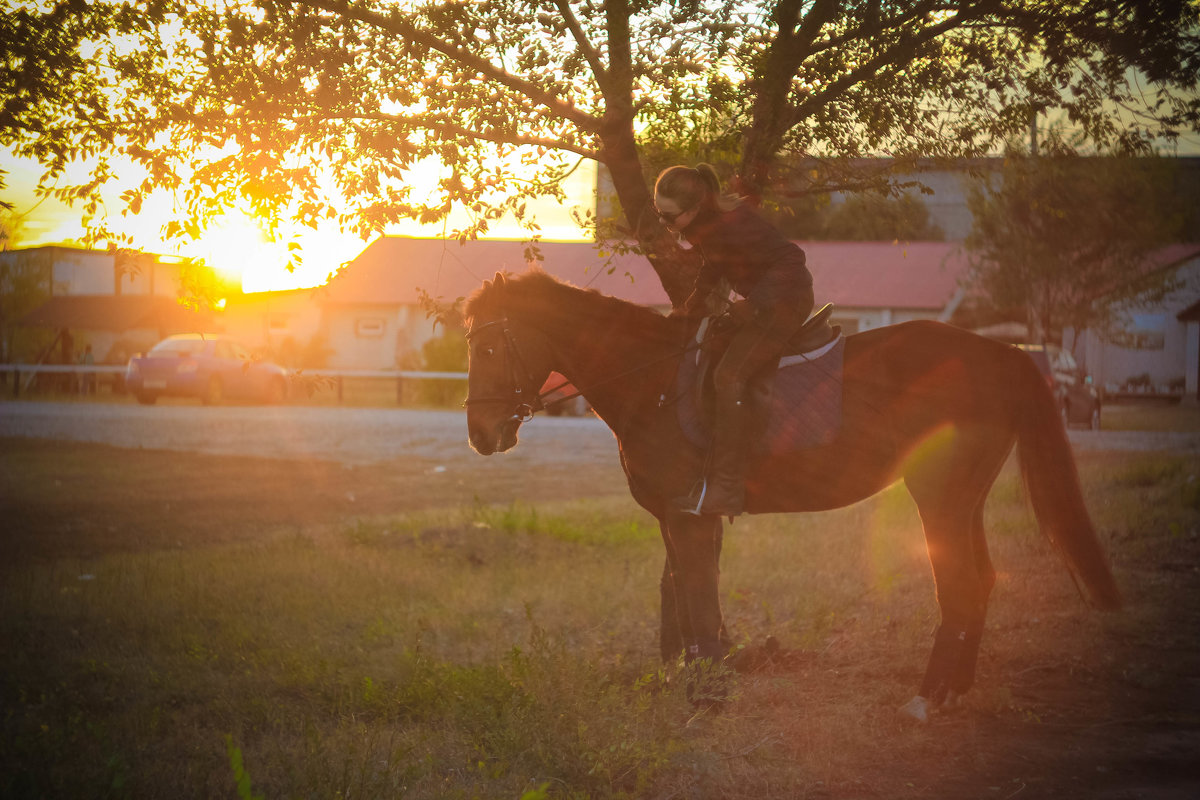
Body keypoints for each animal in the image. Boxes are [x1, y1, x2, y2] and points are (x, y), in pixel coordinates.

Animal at [460, 271, 1123, 724]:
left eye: (487, 348)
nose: (481, 435)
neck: (653, 381)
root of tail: (1001, 354)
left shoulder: (689, 516)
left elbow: (698, 599)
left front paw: (708, 695)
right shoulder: (679, 519)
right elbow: (684, 598)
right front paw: (693, 681)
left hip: (938, 495)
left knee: (959, 583)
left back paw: (924, 699)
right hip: (964, 499)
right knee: (981, 580)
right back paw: (953, 693)